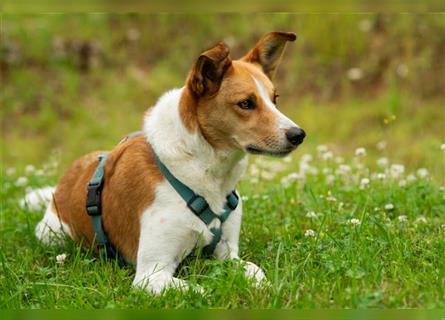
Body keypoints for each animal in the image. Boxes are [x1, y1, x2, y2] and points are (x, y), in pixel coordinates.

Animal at [28, 32, 306, 296]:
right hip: (53, 235)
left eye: (275, 99)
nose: (299, 134)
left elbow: (255, 271)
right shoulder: (151, 274)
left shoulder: (229, 254)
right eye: (246, 103)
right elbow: (201, 290)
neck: (204, 171)